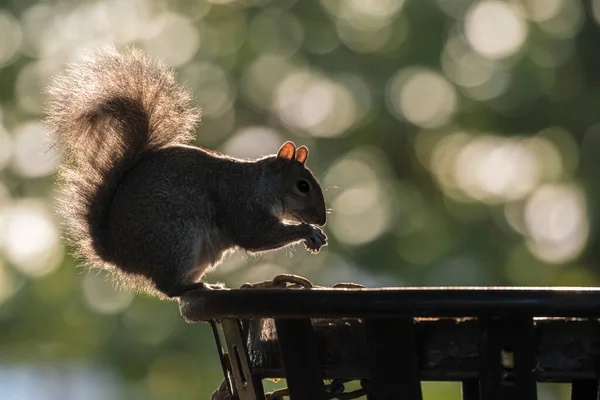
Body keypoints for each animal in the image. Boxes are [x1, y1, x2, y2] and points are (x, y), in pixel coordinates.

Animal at [43, 47, 328, 298]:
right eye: (303, 186)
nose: (322, 219)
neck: (260, 184)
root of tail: (119, 254)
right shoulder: (240, 202)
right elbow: (255, 235)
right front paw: (308, 231)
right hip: (176, 238)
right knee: (168, 287)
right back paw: (198, 287)